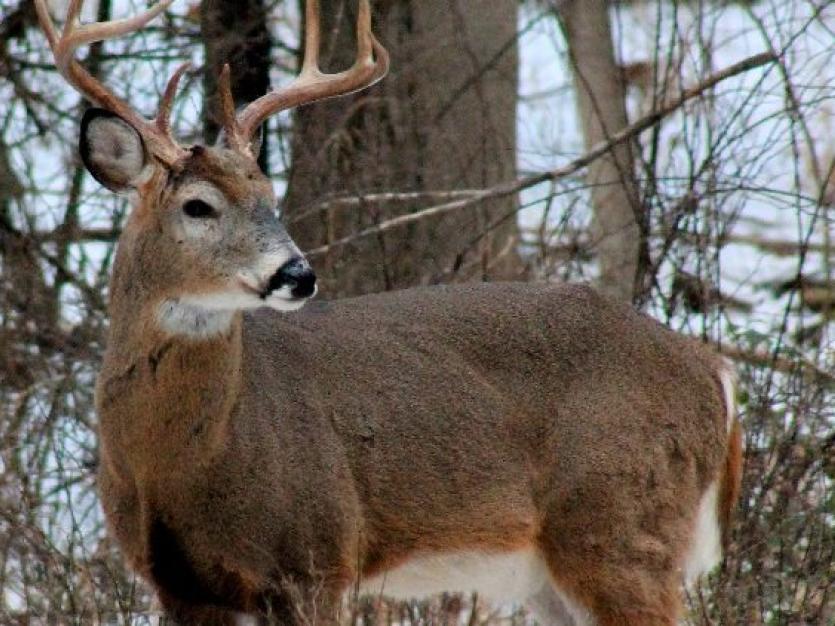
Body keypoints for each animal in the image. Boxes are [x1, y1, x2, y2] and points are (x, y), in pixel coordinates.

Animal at [34, 0, 742, 624]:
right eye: (198, 206)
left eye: (269, 195)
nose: (297, 273)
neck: (181, 465)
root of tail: (714, 372)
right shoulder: (179, 585)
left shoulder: (318, 555)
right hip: (555, 569)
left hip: (622, 523)